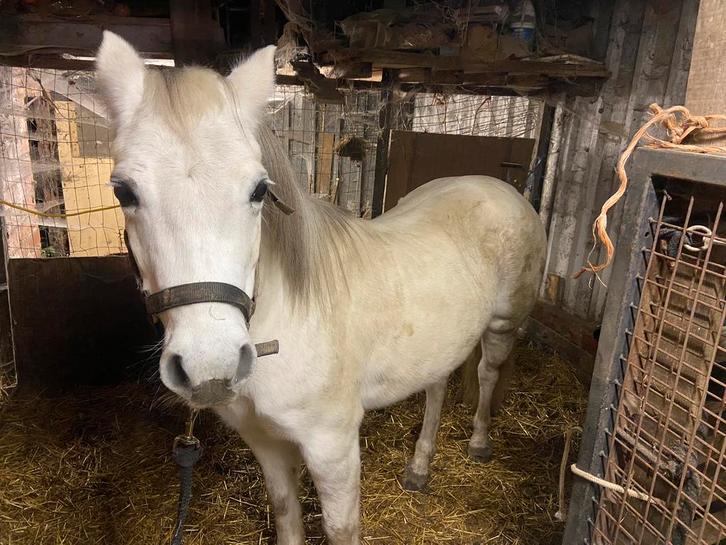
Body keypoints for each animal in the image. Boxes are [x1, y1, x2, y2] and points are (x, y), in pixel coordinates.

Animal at [95, 31, 547, 545]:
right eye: (124, 192)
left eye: (259, 190)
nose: (211, 366)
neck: (284, 326)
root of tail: (501, 188)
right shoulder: (266, 444)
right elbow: (286, 514)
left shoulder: (332, 445)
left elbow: (340, 527)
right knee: (436, 386)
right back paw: (419, 468)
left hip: (503, 325)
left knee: (488, 373)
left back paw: (479, 442)